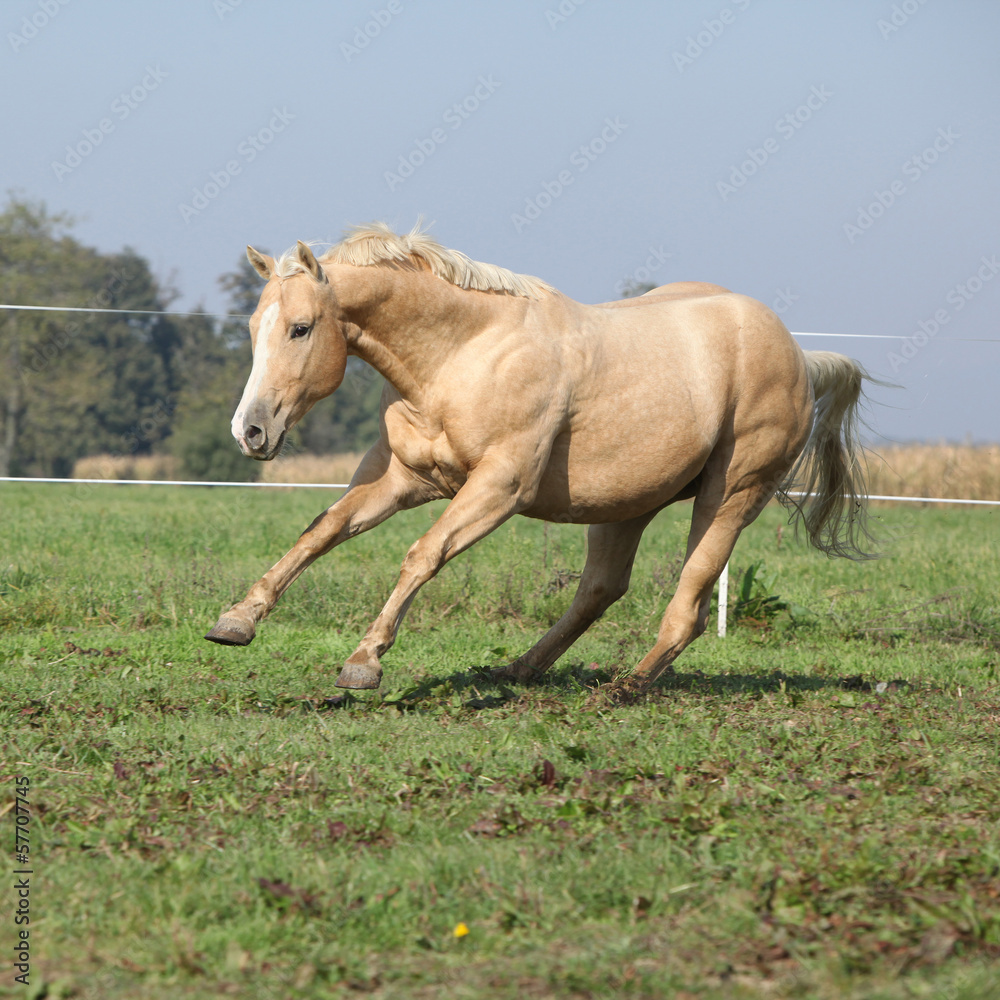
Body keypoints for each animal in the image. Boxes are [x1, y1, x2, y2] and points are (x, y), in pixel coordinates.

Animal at [205, 224, 874, 694]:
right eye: (252, 326)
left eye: (300, 328)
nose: (250, 431)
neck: (461, 356)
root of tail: (799, 355)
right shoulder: (403, 479)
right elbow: (321, 532)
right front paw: (237, 621)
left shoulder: (499, 488)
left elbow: (423, 555)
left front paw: (363, 662)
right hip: (626, 504)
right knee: (599, 590)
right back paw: (517, 671)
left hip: (731, 495)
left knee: (689, 603)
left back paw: (625, 687)